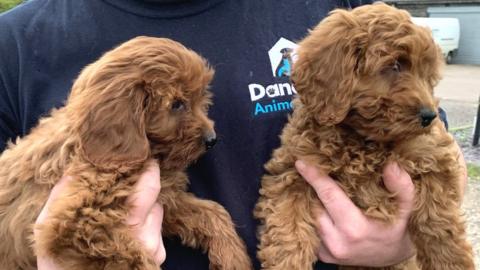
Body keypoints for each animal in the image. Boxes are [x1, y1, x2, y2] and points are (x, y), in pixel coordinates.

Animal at [0, 36, 253, 270]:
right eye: (177, 104)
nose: (212, 139)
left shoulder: (166, 198)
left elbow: (212, 212)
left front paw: (233, 259)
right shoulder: (77, 224)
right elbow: (138, 259)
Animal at [255, 2, 472, 270]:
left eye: (426, 76)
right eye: (395, 65)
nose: (429, 116)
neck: (363, 140)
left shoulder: (433, 154)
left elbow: (438, 218)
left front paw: (451, 261)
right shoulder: (292, 171)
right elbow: (286, 226)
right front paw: (286, 262)